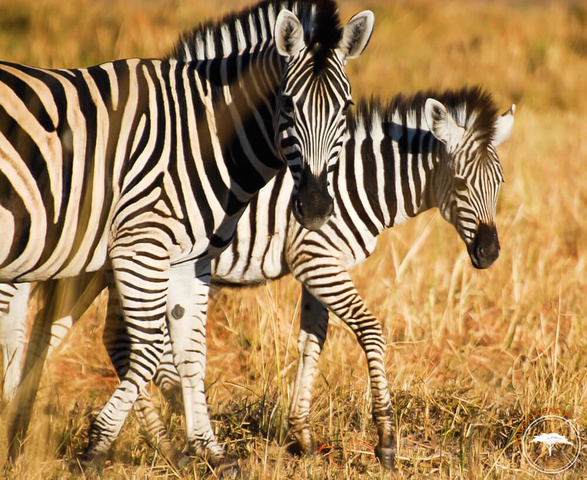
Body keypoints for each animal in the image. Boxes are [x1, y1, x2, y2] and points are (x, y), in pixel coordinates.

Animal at [0, 0, 376, 466]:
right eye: (287, 104)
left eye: (346, 107)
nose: (317, 207)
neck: (202, 136)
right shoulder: (141, 245)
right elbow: (145, 351)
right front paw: (96, 446)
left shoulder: (189, 259)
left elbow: (191, 351)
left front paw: (209, 451)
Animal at [0, 86, 516, 468]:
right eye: (462, 184)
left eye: (500, 182)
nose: (490, 254)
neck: (356, 184)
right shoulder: (317, 258)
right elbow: (369, 330)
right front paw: (386, 439)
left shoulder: (317, 265)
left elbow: (312, 341)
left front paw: (302, 436)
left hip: (99, 269)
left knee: (88, 336)